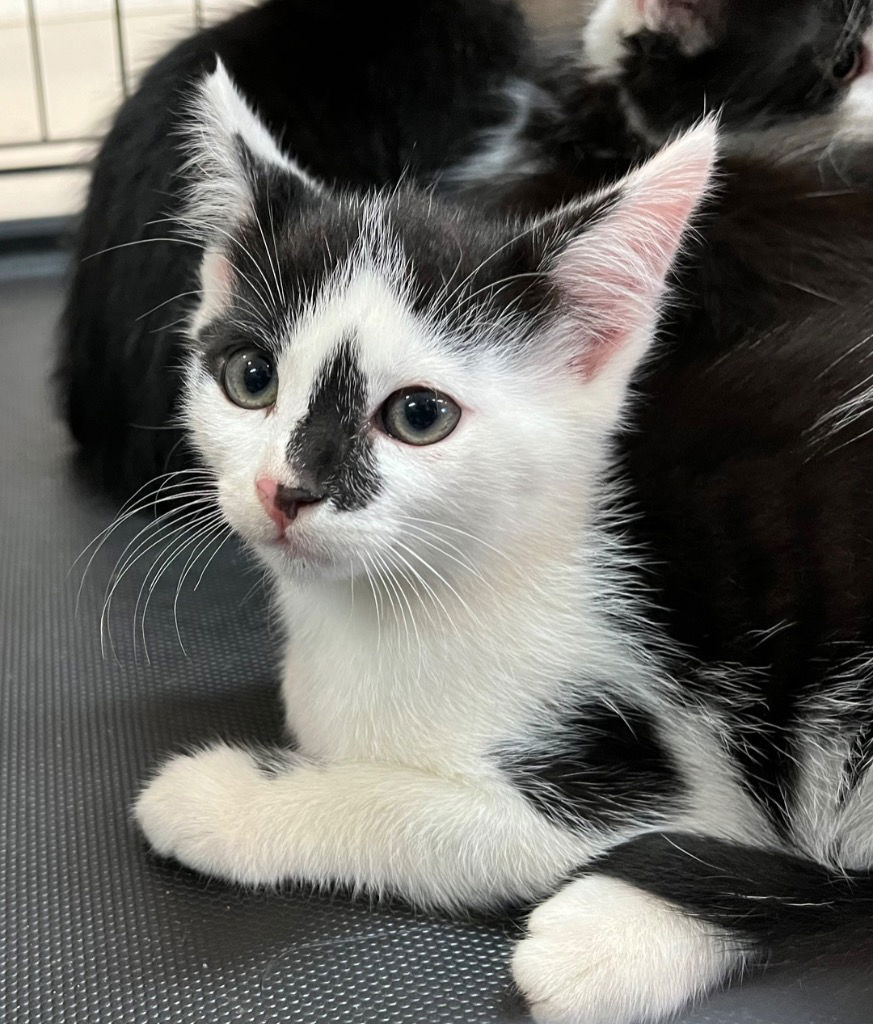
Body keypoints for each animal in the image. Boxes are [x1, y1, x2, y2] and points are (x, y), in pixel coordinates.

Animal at [133, 64, 871, 1024]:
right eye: (250, 378)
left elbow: (429, 818)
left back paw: (603, 934)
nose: (283, 491)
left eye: (419, 416)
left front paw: (221, 797)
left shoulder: (668, 777)